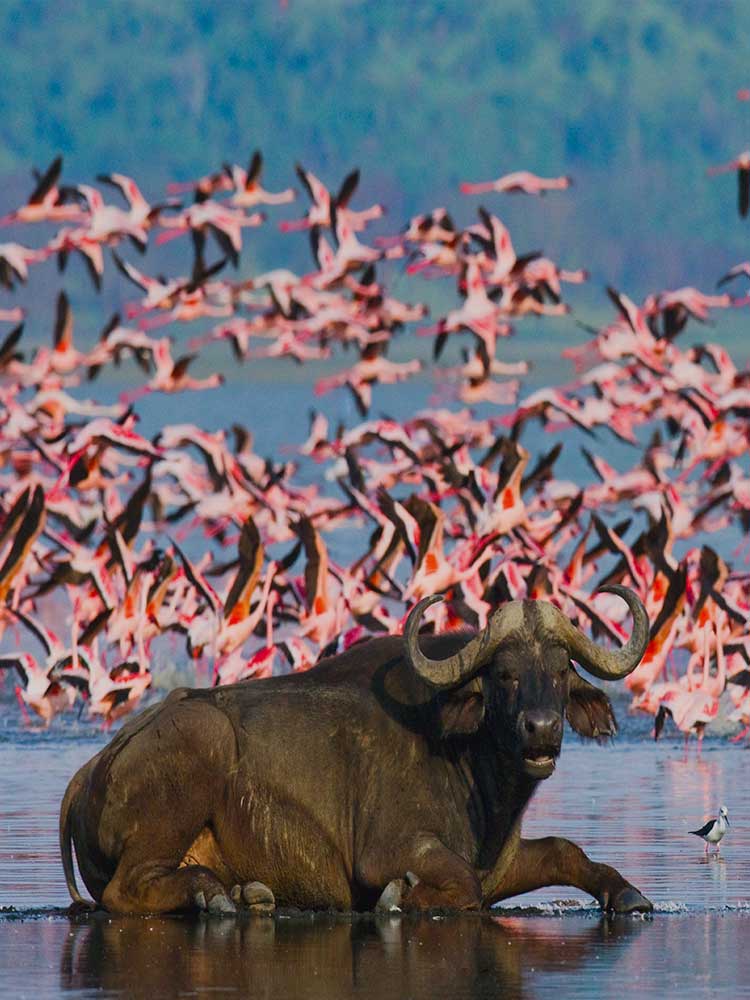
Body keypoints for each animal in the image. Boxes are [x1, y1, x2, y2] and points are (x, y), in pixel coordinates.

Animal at [60, 584, 653, 915]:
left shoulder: (500, 865)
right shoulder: (388, 852)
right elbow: (457, 884)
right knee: (125, 891)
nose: (540, 729)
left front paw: (627, 894)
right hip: (201, 740)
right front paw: (401, 899)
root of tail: (93, 768)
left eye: (560, 672)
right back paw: (216, 898)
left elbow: (564, 851)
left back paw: (245, 895)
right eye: (504, 675)